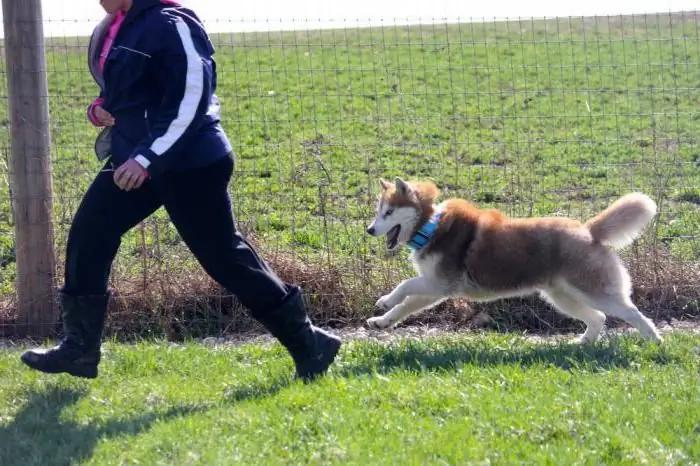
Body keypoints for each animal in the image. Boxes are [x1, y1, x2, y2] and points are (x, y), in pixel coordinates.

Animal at [364, 177, 664, 344]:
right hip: (561, 297)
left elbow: (404, 286)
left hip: (594, 291)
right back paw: (583, 343)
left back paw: (655, 341)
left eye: (389, 212)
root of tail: (588, 230)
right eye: (379, 212)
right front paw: (382, 321)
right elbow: (406, 306)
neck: (430, 227)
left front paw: (385, 301)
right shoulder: (434, 288)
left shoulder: (439, 283)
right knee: (598, 317)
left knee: (632, 313)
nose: (369, 230)